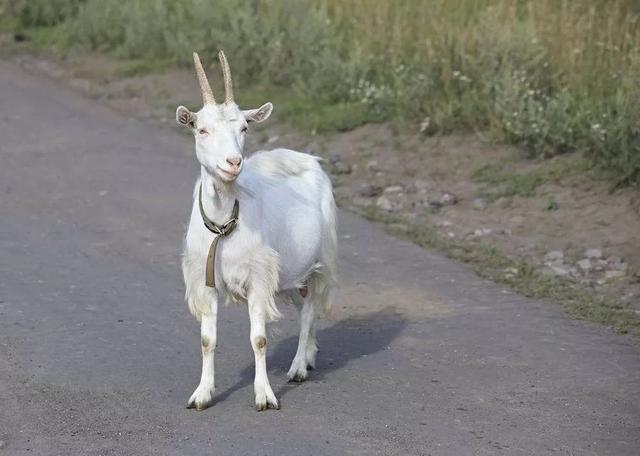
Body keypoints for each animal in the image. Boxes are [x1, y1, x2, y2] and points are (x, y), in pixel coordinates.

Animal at [175, 51, 336, 412]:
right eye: (201, 129)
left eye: (244, 127)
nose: (233, 162)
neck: (223, 224)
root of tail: (304, 157)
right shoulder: (205, 280)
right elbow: (207, 339)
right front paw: (202, 394)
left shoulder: (259, 279)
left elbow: (259, 339)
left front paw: (264, 396)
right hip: (291, 273)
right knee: (305, 309)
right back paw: (310, 355)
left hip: (320, 262)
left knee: (310, 309)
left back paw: (298, 367)